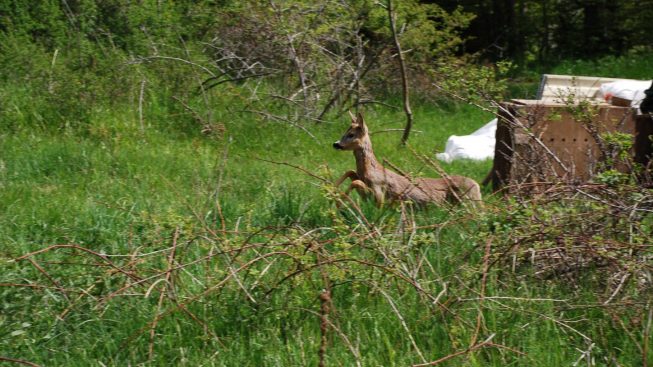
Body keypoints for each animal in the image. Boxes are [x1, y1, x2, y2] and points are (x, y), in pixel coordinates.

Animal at [334, 112, 482, 208]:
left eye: (351, 134)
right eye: (344, 133)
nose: (336, 144)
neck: (369, 170)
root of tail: (477, 186)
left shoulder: (379, 195)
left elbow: (356, 182)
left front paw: (339, 202)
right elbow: (351, 172)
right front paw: (334, 190)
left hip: (467, 202)